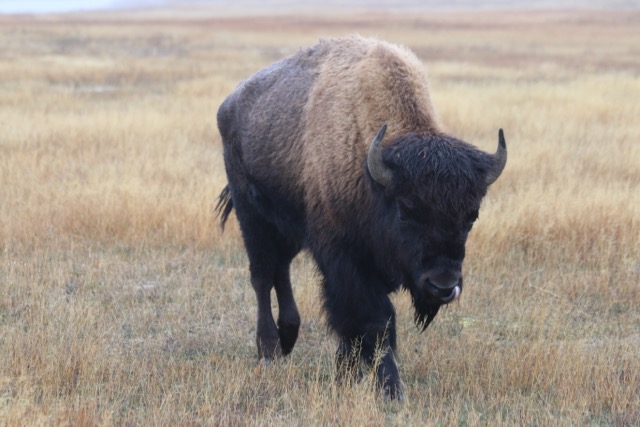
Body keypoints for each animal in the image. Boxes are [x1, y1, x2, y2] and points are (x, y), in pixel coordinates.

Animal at [215, 36, 506, 399]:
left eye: (472, 216)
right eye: (406, 211)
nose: (443, 285)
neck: (371, 172)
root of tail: (228, 104)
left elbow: (354, 326)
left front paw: (348, 372)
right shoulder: (345, 261)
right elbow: (374, 320)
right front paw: (389, 388)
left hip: (287, 228)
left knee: (280, 269)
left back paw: (289, 336)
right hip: (251, 215)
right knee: (263, 275)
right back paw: (269, 349)